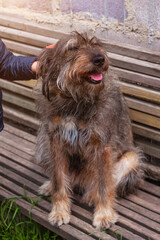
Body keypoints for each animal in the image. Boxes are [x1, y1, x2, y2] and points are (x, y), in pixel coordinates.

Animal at [35, 31, 142, 229]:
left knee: (107, 182)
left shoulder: (102, 146)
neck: (76, 100)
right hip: (43, 146)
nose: (100, 59)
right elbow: (59, 180)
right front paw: (59, 211)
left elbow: (104, 184)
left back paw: (92, 195)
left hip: (131, 158)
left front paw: (104, 215)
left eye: (96, 45)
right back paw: (48, 185)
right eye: (73, 47)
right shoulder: (55, 142)